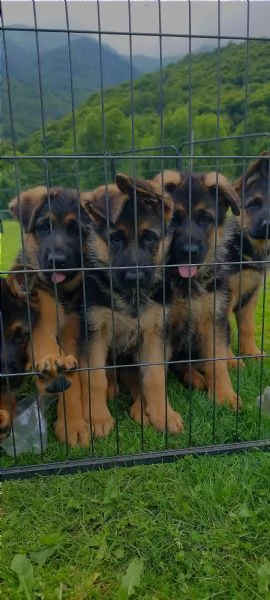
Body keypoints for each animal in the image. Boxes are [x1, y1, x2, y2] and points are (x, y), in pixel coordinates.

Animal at [8, 186, 90, 446]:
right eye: (44, 227)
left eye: (76, 230)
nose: (57, 261)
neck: (61, 292)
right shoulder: (40, 319)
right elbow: (45, 344)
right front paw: (51, 360)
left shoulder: (73, 332)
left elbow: (75, 384)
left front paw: (73, 424)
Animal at [78, 172, 184, 436]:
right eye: (115, 238)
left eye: (151, 238)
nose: (134, 277)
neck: (130, 298)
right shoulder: (94, 335)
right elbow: (95, 378)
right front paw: (98, 417)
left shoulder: (155, 334)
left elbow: (155, 376)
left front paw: (163, 414)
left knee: (138, 378)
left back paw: (141, 409)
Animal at [153, 171, 242, 410]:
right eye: (174, 219)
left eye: (205, 219)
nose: (190, 251)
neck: (188, 284)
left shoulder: (213, 320)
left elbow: (217, 363)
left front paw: (224, 396)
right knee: (180, 366)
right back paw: (194, 378)